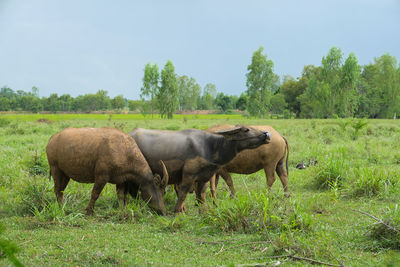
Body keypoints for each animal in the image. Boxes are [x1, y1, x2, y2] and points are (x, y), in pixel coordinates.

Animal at [128, 125, 270, 214]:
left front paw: (204, 211)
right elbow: (183, 193)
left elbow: (201, 195)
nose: (267, 134)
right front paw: (177, 210)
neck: (210, 147)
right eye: (246, 129)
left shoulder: (204, 177)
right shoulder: (188, 175)